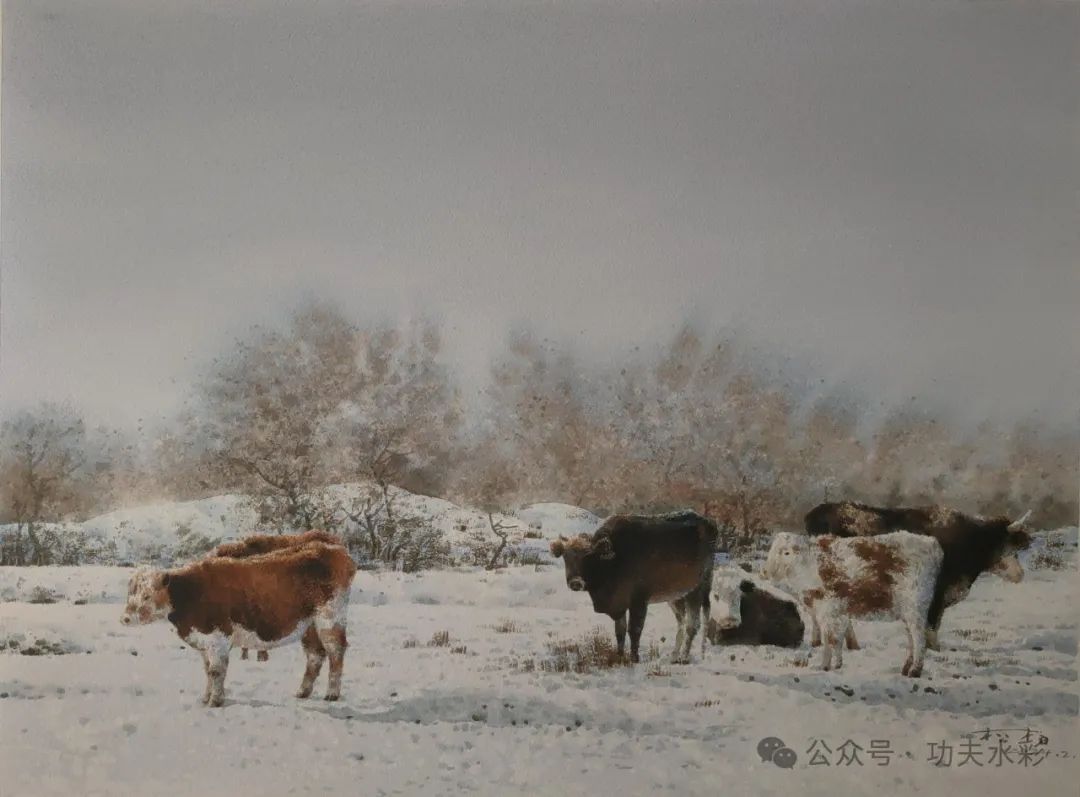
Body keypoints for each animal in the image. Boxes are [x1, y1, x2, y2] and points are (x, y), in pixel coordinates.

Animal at [548, 511, 717, 660]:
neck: (614, 558)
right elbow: (620, 632)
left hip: (697, 590)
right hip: (675, 597)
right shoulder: (620, 603)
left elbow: (634, 630)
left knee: (693, 625)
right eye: (566, 556)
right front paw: (619, 656)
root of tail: (708, 523)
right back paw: (675, 656)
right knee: (681, 622)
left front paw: (634, 658)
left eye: (588, 556)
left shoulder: (639, 601)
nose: (576, 582)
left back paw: (684, 657)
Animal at [760, 531, 946, 673]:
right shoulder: (834, 613)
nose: (765, 572)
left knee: (919, 638)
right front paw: (837, 664)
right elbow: (837, 639)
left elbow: (829, 639)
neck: (811, 565)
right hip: (907, 613)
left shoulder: (828, 610)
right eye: (772, 550)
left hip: (915, 609)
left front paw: (825, 665)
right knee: (911, 638)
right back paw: (907, 667)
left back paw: (915, 670)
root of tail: (930, 543)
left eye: (786, 553)